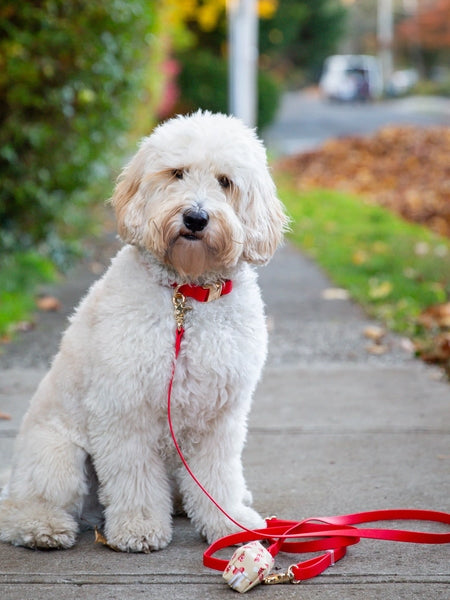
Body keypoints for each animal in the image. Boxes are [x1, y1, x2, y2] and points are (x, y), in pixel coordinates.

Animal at [0, 110, 286, 552]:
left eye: (225, 181)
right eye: (177, 173)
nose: (195, 218)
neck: (186, 294)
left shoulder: (219, 417)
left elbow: (218, 477)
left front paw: (229, 522)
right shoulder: (124, 408)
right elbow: (134, 478)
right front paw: (138, 528)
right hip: (57, 457)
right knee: (26, 507)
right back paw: (43, 527)